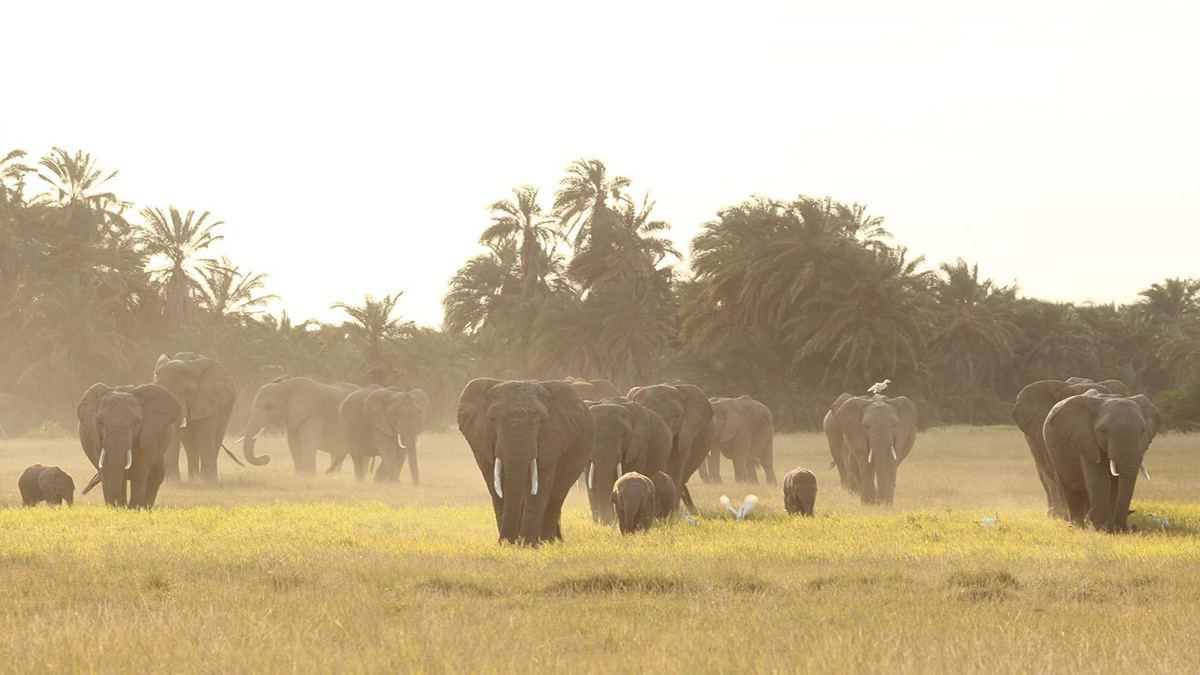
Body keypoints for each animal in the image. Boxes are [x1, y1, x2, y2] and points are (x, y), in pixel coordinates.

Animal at [154, 352, 237, 482]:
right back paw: (193, 479)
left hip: (227, 407)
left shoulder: (208, 399)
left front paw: (208, 481)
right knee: (189, 442)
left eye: (187, 392)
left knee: (216, 437)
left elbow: (205, 434)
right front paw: (172, 481)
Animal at [457, 379, 594, 545]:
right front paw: (508, 544)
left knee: (556, 498)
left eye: (542, 421)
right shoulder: (483, 443)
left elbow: (539, 486)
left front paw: (527, 545)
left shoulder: (552, 440)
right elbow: (496, 487)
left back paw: (550, 541)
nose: (505, 540)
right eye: (492, 419)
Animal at [1043, 389, 1159, 532]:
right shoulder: (1085, 439)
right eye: (1104, 431)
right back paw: (1078, 527)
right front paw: (1105, 529)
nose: (1130, 528)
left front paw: (1109, 528)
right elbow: (1099, 480)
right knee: (1069, 488)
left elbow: (1116, 484)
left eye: (1143, 431)